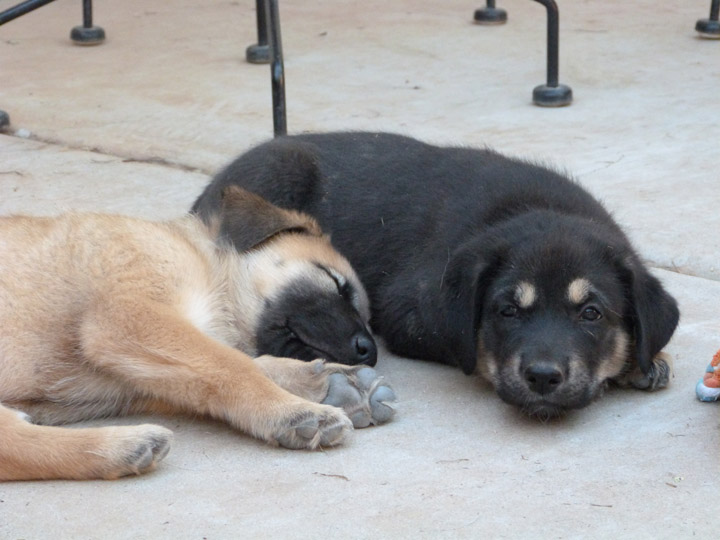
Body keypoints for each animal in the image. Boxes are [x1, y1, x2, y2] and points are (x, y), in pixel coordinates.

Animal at [0, 189, 394, 480]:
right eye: (336, 284)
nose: (368, 351)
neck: (209, 268)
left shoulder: (144, 368)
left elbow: (240, 365)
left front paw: (332, 383)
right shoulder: (130, 319)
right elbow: (234, 366)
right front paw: (292, 410)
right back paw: (123, 445)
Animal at [193, 132, 680, 418]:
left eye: (591, 313)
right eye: (506, 311)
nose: (542, 378)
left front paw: (647, 361)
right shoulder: (412, 313)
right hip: (279, 171)